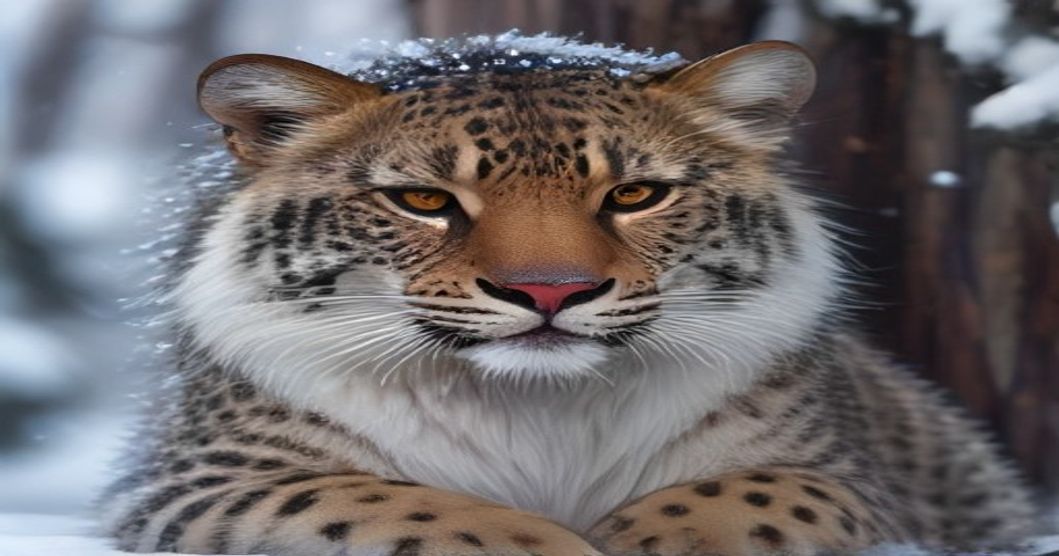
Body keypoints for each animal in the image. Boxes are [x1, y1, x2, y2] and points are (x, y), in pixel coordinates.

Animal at [100, 34, 1039, 556]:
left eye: (634, 194)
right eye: (424, 200)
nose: (549, 291)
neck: (537, 413)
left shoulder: (844, 477)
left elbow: (746, 500)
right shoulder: (203, 485)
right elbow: (386, 506)